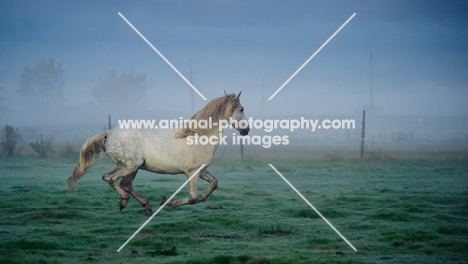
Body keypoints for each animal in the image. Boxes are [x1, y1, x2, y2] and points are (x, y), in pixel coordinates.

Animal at [66, 91, 249, 214]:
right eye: (241, 109)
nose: (246, 130)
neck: (199, 136)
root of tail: (109, 133)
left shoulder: (201, 171)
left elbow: (213, 185)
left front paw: (165, 201)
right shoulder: (192, 172)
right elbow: (192, 198)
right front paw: (166, 201)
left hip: (133, 168)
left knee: (125, 185)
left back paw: (144, 206)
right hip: (129, 166)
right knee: (110, 178)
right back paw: (125, 201)